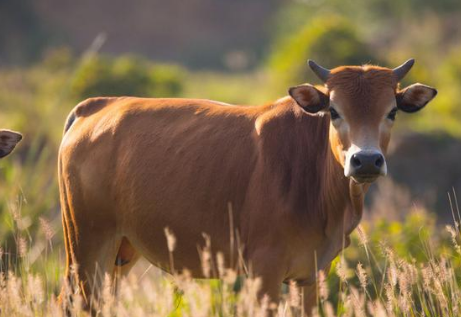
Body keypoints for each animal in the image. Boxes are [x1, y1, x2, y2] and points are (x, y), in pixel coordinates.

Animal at [56, 59, 434, 314]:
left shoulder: (311, 274)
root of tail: (97, 106)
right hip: (86, 245)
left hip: (120, 250)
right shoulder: (264, 272)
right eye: (334, 111)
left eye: (392, 112)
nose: (366, 160)